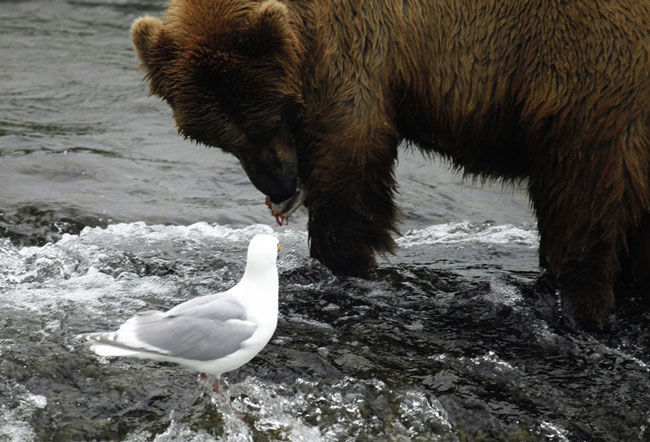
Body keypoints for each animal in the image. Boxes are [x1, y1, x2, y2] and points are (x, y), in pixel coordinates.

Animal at [132, 0, 648, 328]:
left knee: (581, 188)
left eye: (272, 117)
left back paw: (581, 301)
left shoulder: (354, 46)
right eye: (220, 139)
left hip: (585, 73)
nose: (278, 186)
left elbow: (351, 154)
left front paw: (345, 263)